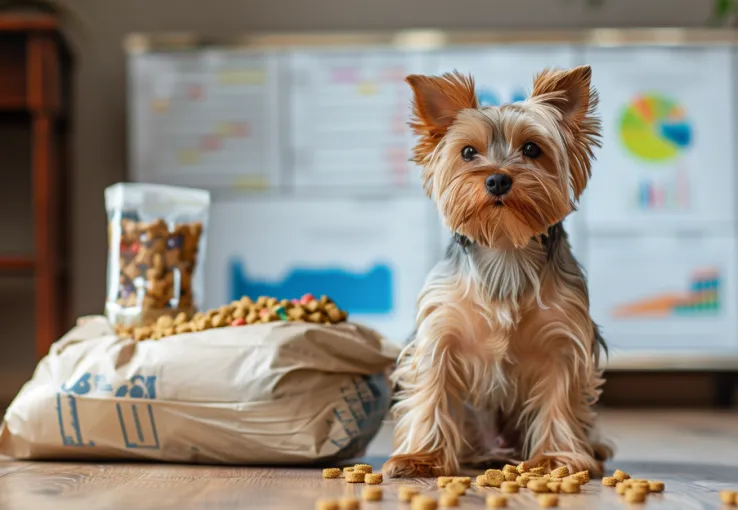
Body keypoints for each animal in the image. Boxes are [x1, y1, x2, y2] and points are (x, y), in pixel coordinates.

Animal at [382, 65, 608, 476]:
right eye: (468, 152)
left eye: (532, 149)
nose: (498, 178)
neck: (505, 248)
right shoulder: (440, 331)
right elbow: (431, 391)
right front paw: (421, 456)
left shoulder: (564, 337)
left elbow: (561, 395)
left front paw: (555, 459)